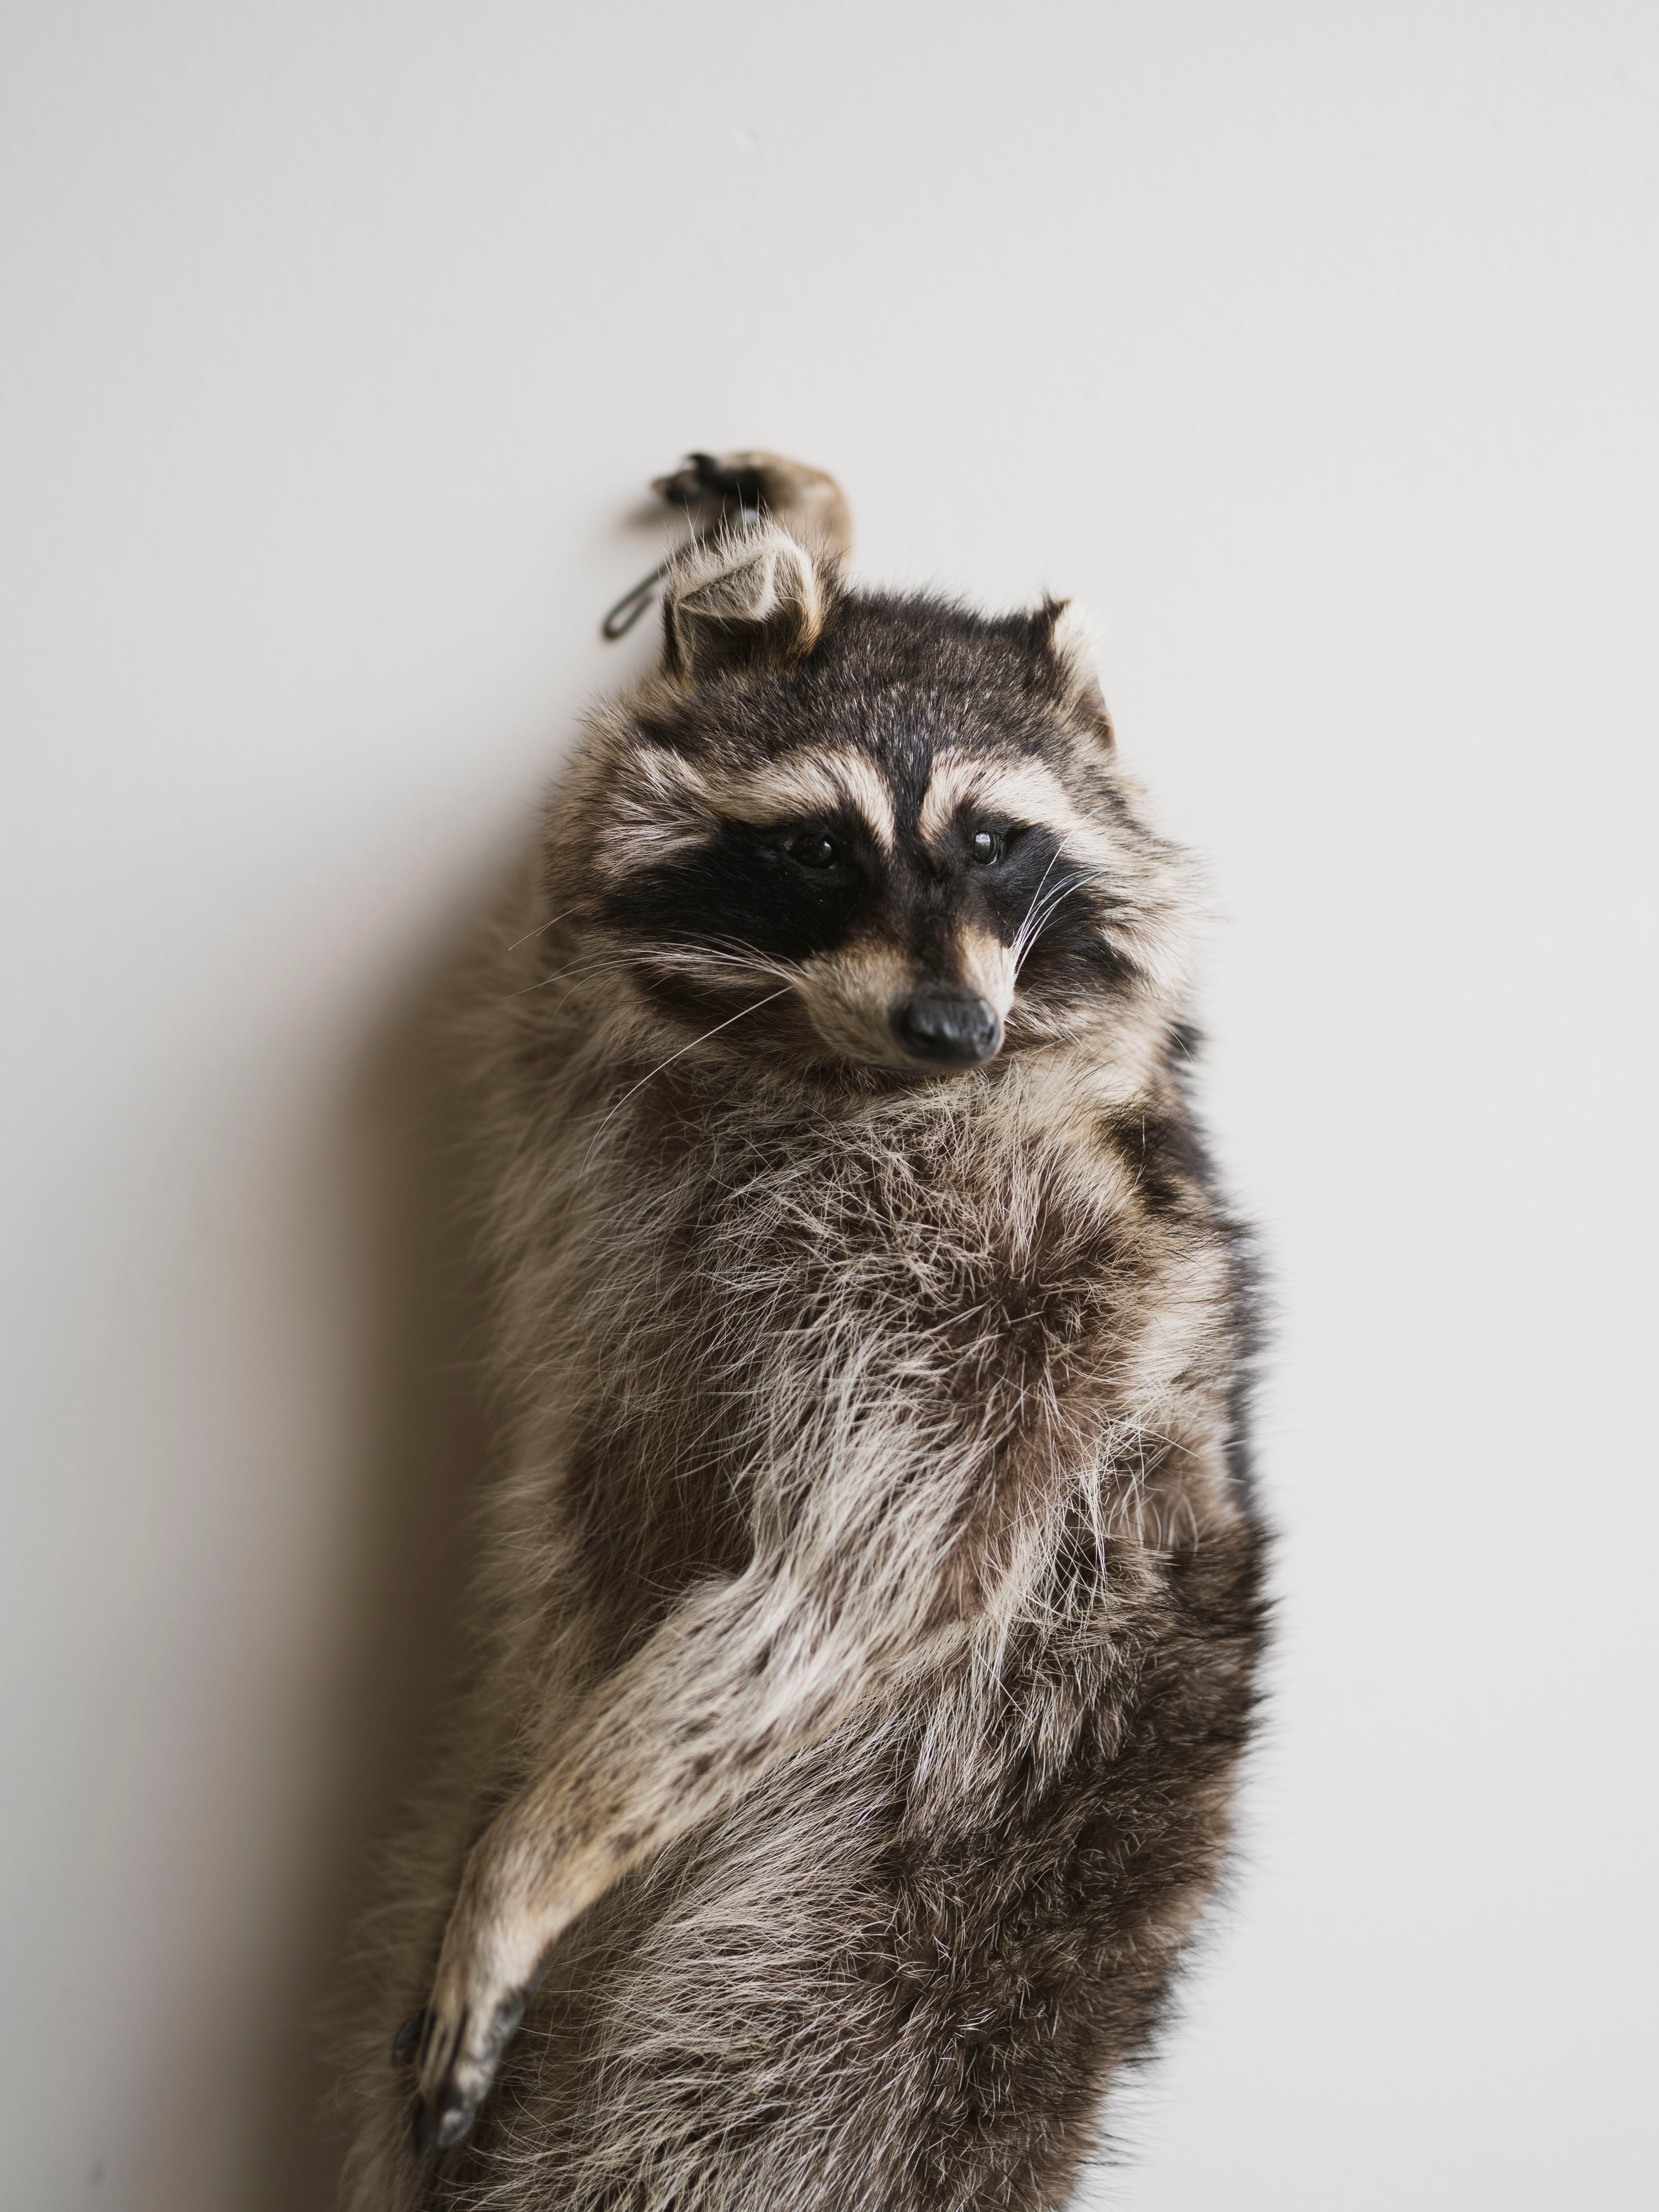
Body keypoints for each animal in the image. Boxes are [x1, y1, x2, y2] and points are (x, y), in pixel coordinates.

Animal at [337, 452, 1268, 2212]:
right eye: (822, 847)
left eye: (995, 839)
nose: (953, 1024)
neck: (826, 1058)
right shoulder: (585, 988)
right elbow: (580, 832)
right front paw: (798, 534)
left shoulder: (1030, 1273)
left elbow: (870, 1568)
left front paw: (545, 1851)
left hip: (929, 1921)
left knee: (733, 2121)